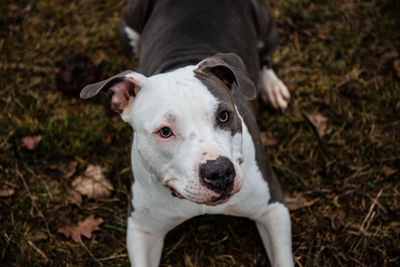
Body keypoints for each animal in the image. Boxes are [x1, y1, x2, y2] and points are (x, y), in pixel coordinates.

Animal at [80, 0, 294, 266]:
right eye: (165, 131)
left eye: (224, 116)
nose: (219, 172)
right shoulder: (142, 229)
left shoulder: (272, 207)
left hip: (266, 27)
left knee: (264, 58)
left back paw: (271, 86)